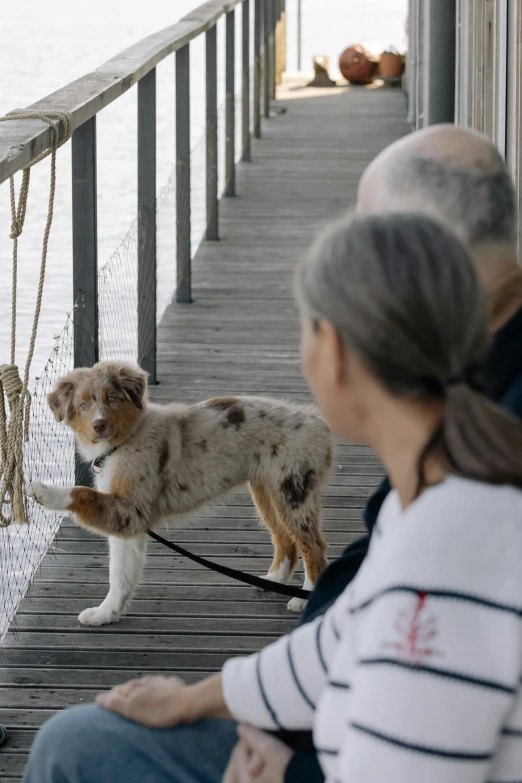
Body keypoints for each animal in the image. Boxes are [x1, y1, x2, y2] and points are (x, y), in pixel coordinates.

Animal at [28, 362, 332, 624]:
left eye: (112, 398)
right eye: (83, 405)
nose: (98, 425)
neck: (126, 440)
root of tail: (318, 422)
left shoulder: (129, 509)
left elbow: (81, 492)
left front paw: (44, 491)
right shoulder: (129, 522)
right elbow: (120, 574)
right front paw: (106, 614)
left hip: (294, 490)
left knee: (313, 547)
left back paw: (304, 598)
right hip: (267, 491)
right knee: (284, 538)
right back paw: (273, 581)